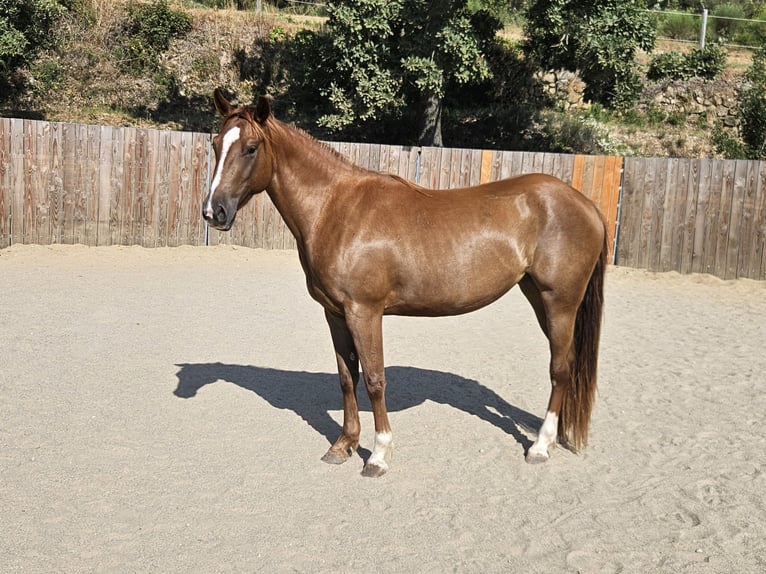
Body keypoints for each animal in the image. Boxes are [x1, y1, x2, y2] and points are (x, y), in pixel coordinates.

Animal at [202, 89, 608, 477]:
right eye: (216, 144)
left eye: (251, 148)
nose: (213, 212)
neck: (335, 209)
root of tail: (584, 203)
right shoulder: (335, 314)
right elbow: (347, 378)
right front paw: (343, 445)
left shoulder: (364, 312)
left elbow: (374, 379)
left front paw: (378, 456)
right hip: (538, 297)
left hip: (560, 301)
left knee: (560, 369)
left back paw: (540, 446)